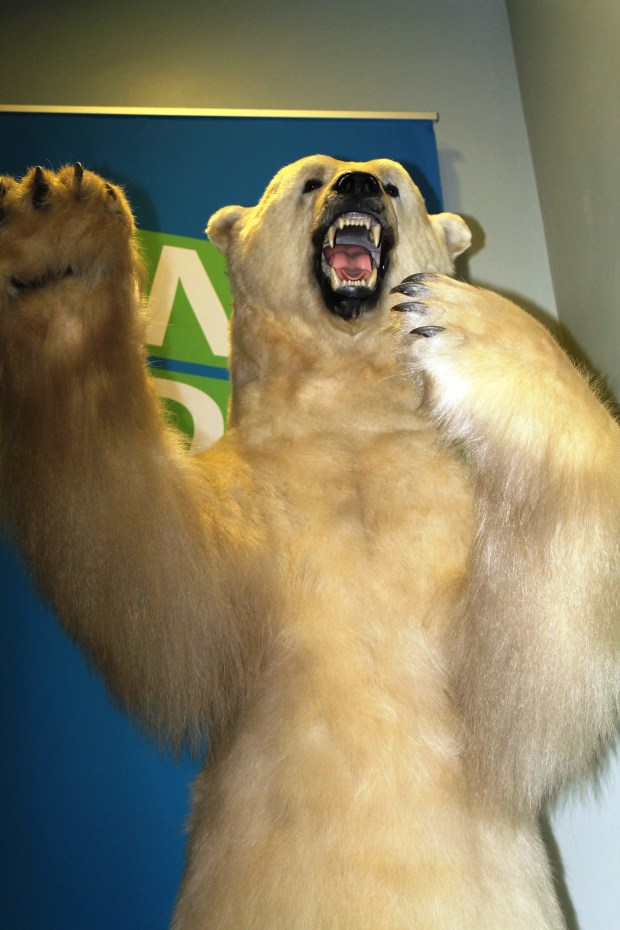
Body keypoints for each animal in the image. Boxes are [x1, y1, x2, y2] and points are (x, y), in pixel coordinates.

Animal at [0, 155, 619, 930]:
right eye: (310, 180)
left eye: (395, 186)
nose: (357, 183)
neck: (347, 422)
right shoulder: (253, 509)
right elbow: (161, 587)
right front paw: (56, 233)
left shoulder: (453, 521)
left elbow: (523, 681)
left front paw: (466, 321)